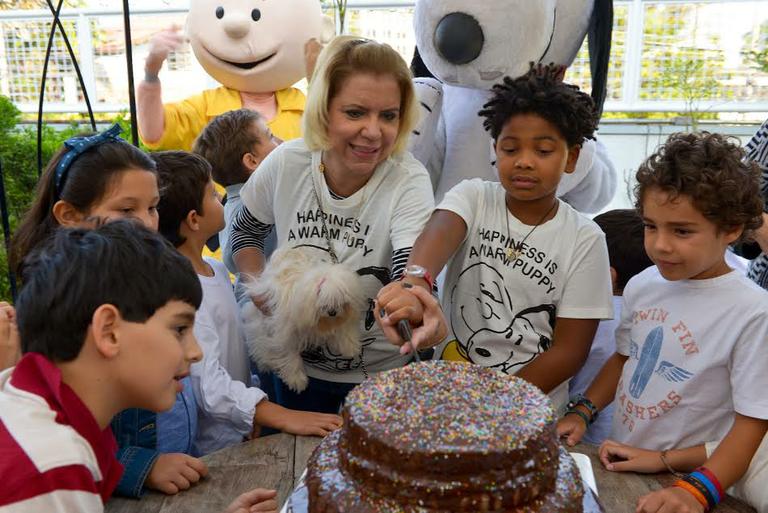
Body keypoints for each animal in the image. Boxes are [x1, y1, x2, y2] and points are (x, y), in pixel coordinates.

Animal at [244, 248, 368, 392]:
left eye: (340, 299)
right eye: (322, 299)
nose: (332, 312)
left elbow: (344, 329)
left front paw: (350, 347)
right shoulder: (285, 333)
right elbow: (289, 354)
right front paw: (297, 380)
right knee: (258, 340)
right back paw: (266, 360)